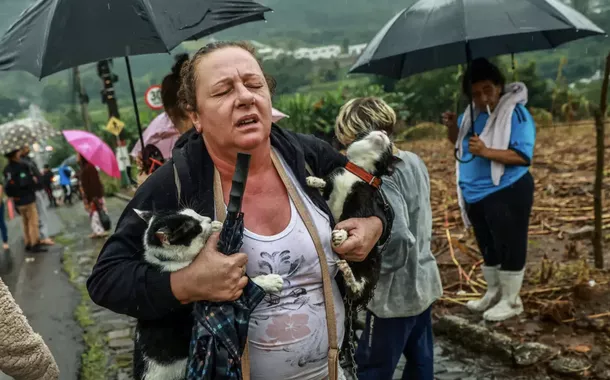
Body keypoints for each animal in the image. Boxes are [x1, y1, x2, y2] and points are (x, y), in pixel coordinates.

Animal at [131, 209, 282, 378]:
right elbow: (248, 285)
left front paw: (216, 226)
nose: (208, 219)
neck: (171, 261)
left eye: (195, 213)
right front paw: (270, 281)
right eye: (195, 227)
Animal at [302, 131, 394, 308]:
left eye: (390, 147)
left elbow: (350, 219)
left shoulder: (362, 201)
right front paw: (314, 180)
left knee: (357, 288)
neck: (359, 171)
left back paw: (348, 273)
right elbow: (326, 184)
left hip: (373, 265)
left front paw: (341, 234)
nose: (384, 132)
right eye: (367, 132)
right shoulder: (334, 180)